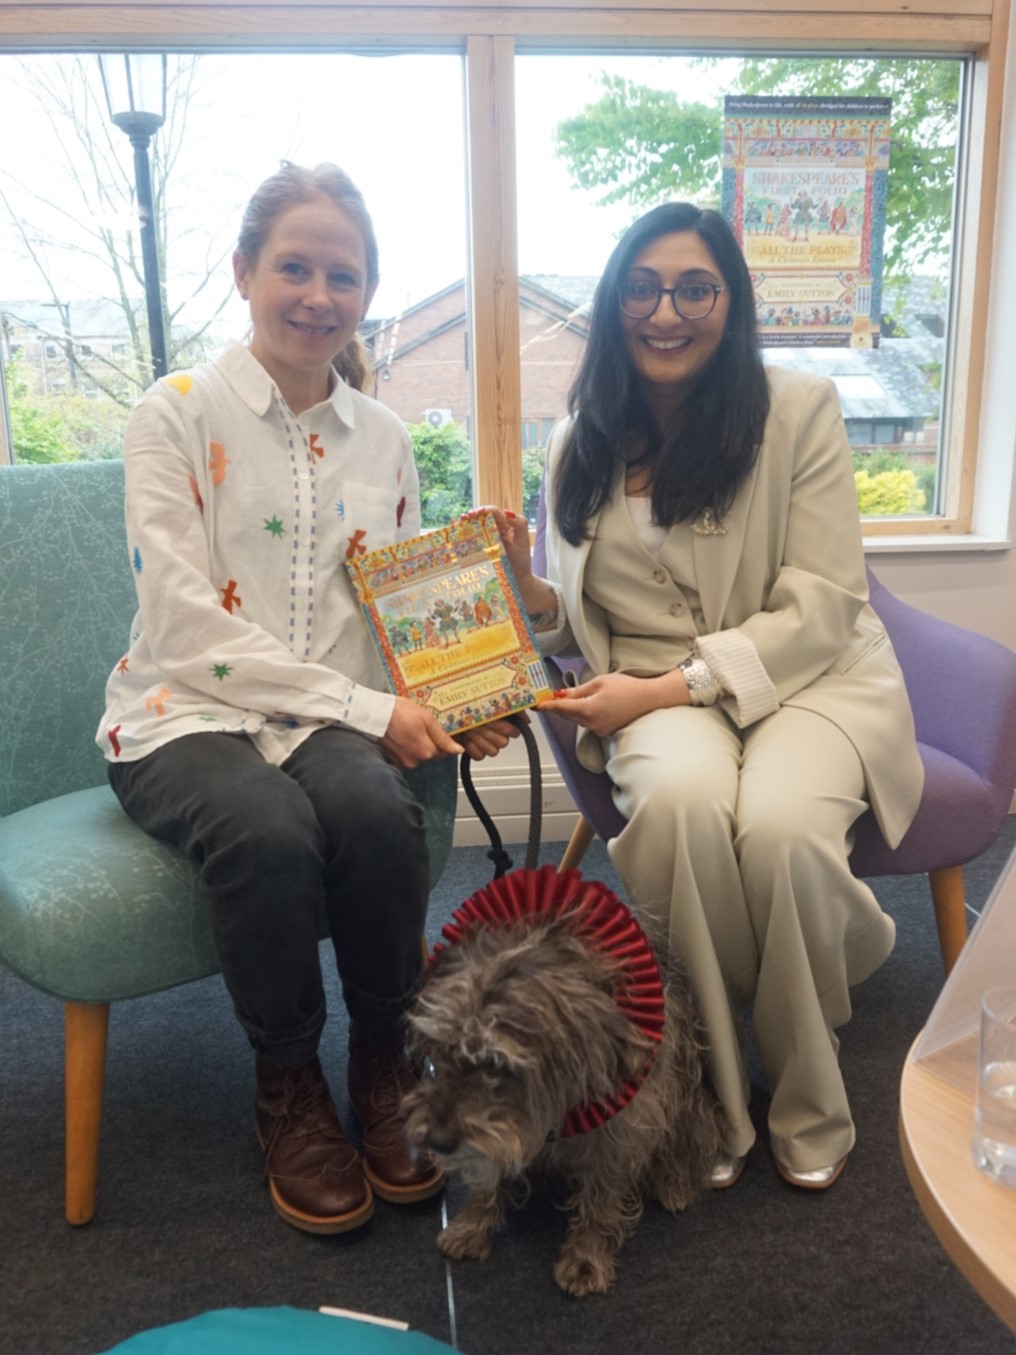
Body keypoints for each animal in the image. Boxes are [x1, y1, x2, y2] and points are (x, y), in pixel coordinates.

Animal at [400, 894, 726, 1295]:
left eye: (497, 1064)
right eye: (440, 1049)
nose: (438, 1141)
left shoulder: (621, 1129)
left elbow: (600, 1196)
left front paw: (586, 1256)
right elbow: (487, 1178)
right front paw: (473, 1225)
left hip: (683, 1100)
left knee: (698, 1136)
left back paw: (676, 1182)